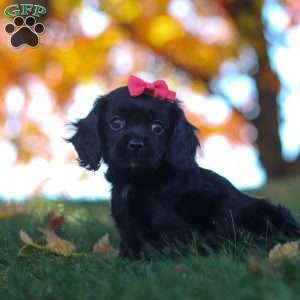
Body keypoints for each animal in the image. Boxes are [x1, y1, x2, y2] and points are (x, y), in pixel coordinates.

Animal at [68, 79, 300, 258]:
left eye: (157, 128)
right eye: (116, 123)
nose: (136, 144)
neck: (138, 181)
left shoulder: (170, 227)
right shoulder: (128, 229)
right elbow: (129, 251)